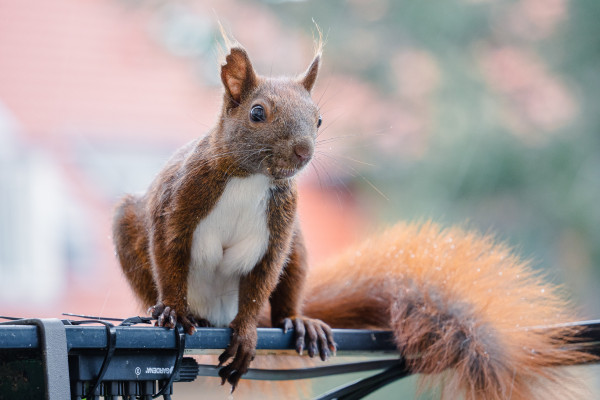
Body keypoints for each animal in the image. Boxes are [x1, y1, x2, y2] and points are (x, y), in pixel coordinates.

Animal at [113, 36, 596, 396]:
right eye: (257, 112)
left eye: (319, 120)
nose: (304, 152)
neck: (251, 178)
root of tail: (216, 311)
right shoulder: (182, 198)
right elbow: (170, 249)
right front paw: (172, 311)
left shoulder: (281, 226)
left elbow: (263, 277)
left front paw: (248, 333)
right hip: (129, 229)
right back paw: (179, 313)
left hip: (298, 244)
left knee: (283, 293)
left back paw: (298, 322)